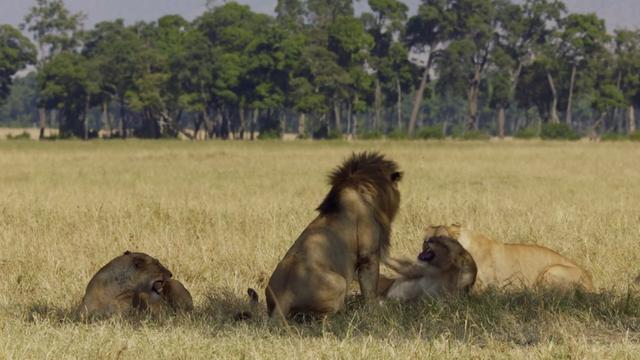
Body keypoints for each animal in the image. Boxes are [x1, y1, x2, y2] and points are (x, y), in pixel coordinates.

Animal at [264, 150, 400, 320]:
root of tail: (283, 298)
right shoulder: (368, 255)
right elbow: (369, 288)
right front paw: (375, 310)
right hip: (340, 282)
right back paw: (349, 311)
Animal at [424, 224, 596, 292]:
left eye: (441, 238)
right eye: (426, 241)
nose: (426, 250)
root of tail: (590, 282)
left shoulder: (485, 286)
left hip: (551, 270)